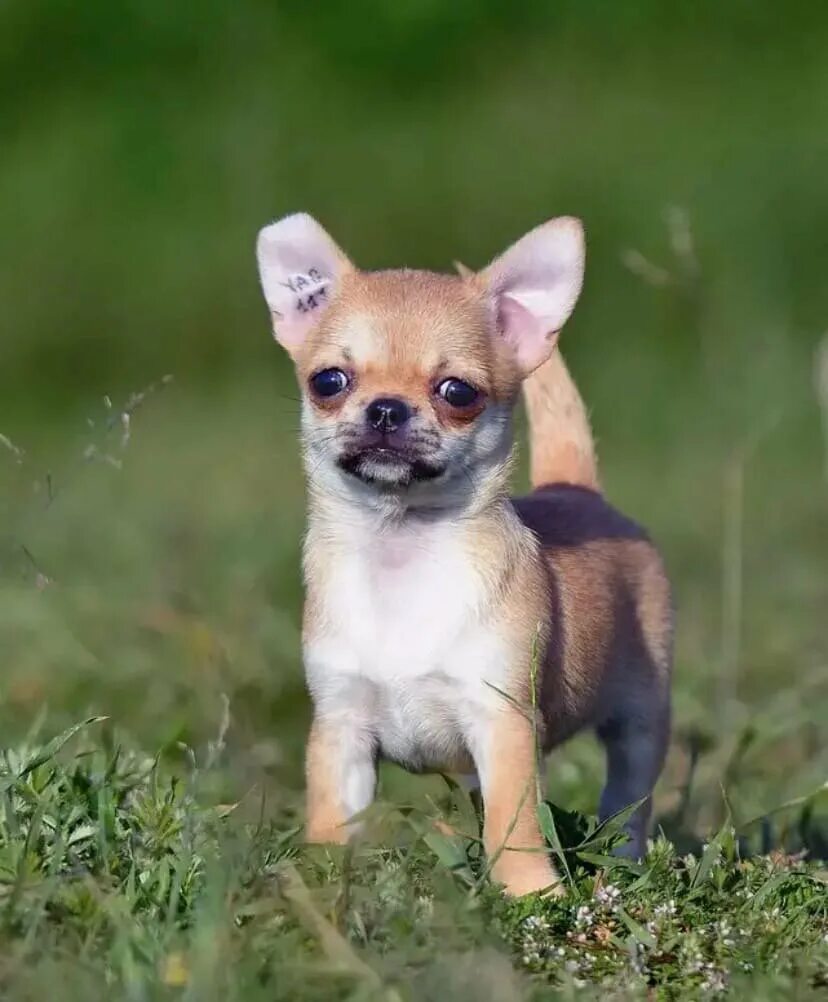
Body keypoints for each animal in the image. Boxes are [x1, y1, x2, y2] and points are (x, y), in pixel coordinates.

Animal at [254, 215, 669, 897]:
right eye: (329, 382)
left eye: (457, 392)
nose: (386, 408)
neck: (400, 549)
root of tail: (575, 488)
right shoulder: (341, 729)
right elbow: (331, 815)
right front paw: (322, 884)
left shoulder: (502, 724)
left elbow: (514, 821)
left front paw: (529, 891)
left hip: (642, 719)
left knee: (627, 800)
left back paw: (626, 859)